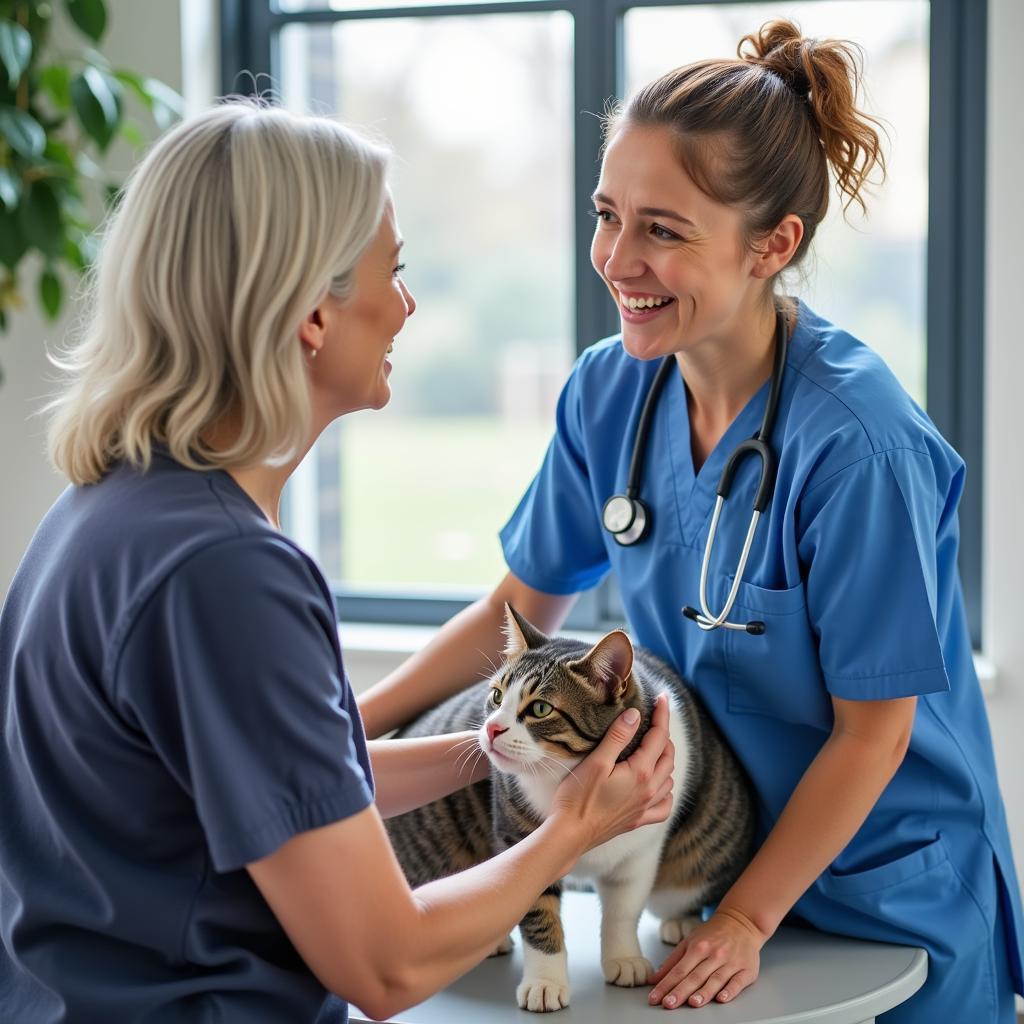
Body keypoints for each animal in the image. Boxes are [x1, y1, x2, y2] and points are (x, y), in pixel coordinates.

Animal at [385, 602, 753, 1011]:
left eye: (540, 709)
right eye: (497, 696)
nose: (492, 729)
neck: (564, 776)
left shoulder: (641, 851)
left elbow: (624, 909)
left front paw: (624, 957)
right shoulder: (521, 842)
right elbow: (538, 916)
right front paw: (545, 982)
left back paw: (683, 921)